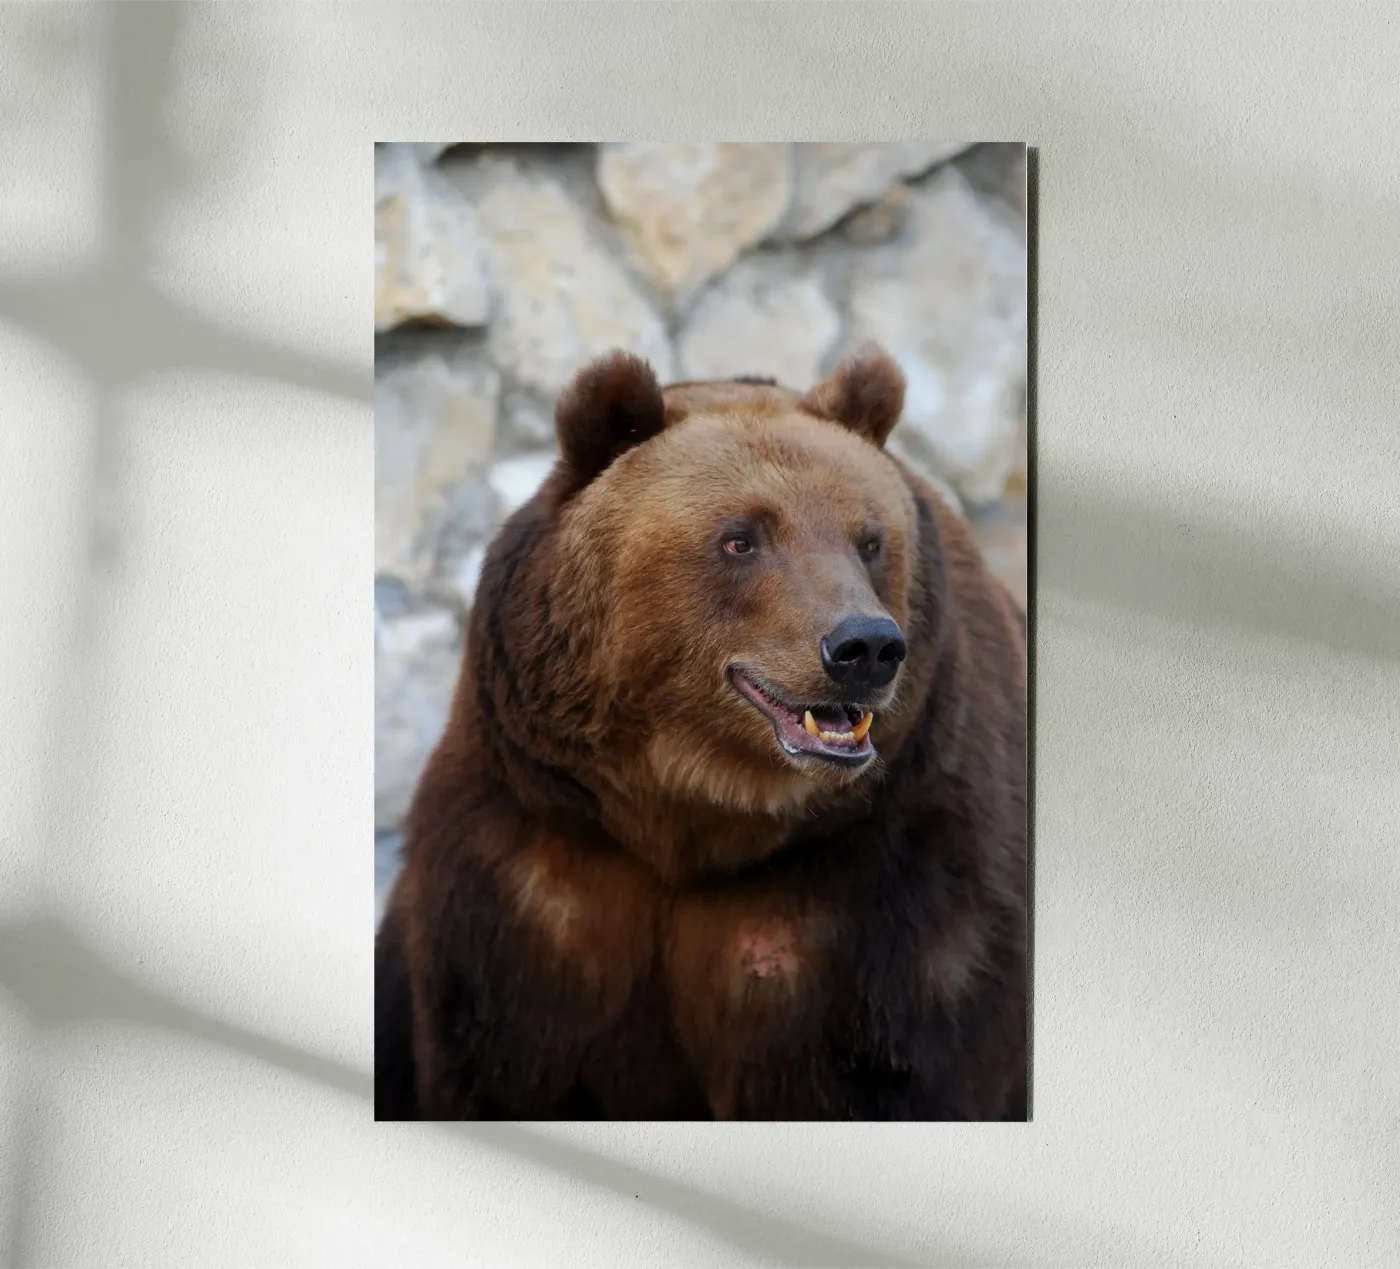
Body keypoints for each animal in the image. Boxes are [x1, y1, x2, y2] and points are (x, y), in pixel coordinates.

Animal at [375, 343, 1028, 1122]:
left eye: (870, 539)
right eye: (741, 538)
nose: (865, 646)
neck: (691, 812)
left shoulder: (886, 885)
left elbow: (887, 1070)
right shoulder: (536, 869)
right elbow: (505, 1063)